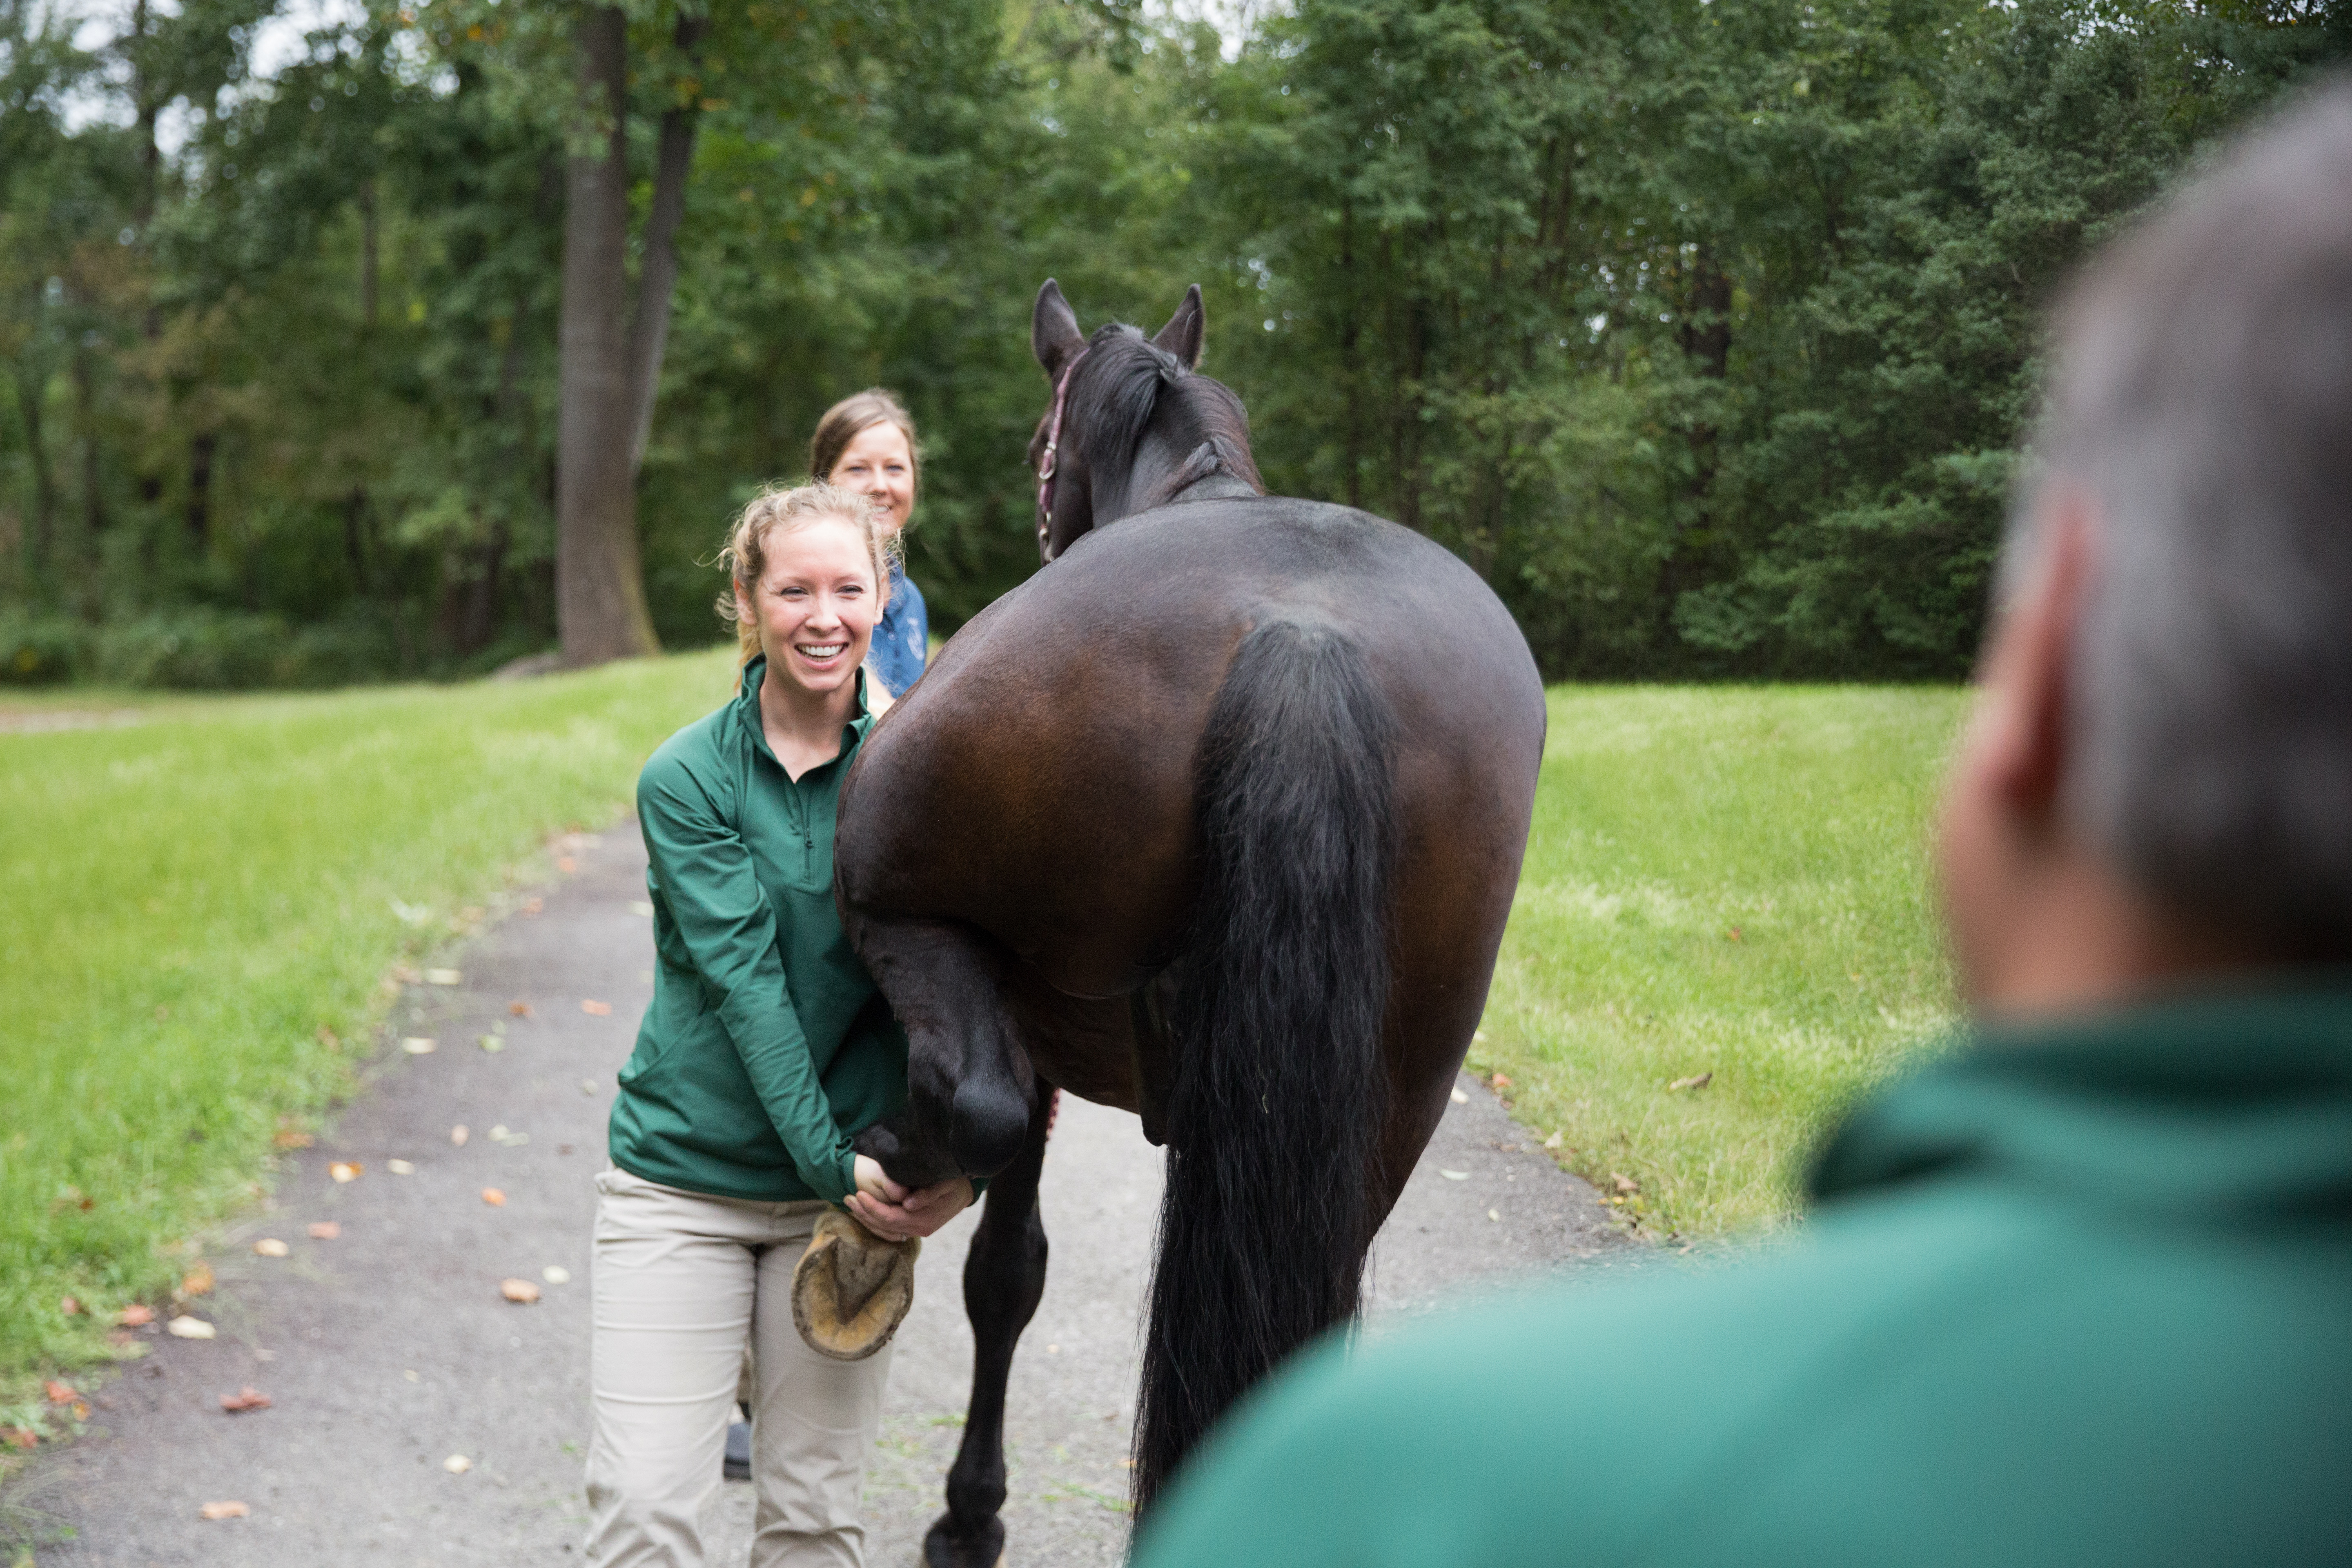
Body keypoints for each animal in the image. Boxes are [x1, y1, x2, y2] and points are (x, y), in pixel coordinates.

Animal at [824, 279, 1546, 1565]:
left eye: (1038, 446)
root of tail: (1303, 636)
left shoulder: (1032, 1037)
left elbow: (1006, 1271)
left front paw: (970, 1513)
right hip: (1398, 1090)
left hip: (918, 924)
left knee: (973, 1108)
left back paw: (897, 1160)